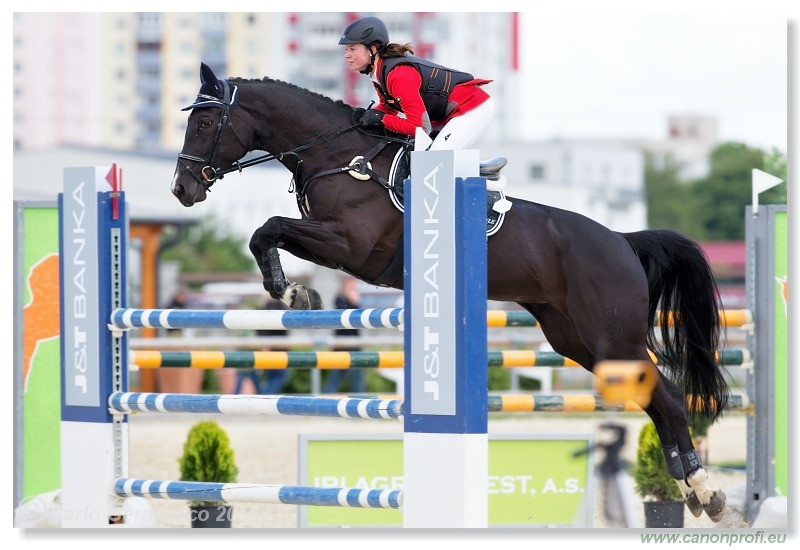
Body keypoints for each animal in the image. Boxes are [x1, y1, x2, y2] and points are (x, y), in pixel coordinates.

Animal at [173, 63, 732, 520]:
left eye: (205, 124)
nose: (182, 189)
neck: (337, 154)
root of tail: (621, 238)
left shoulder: (351, 246)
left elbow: (267, 228)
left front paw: (290, 294)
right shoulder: (332, 244)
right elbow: (267, 233)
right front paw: (296, 293)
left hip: (611, 337)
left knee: (670, 397)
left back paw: (704, 491)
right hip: (575, 339)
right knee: (653, 397)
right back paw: (690, 489)